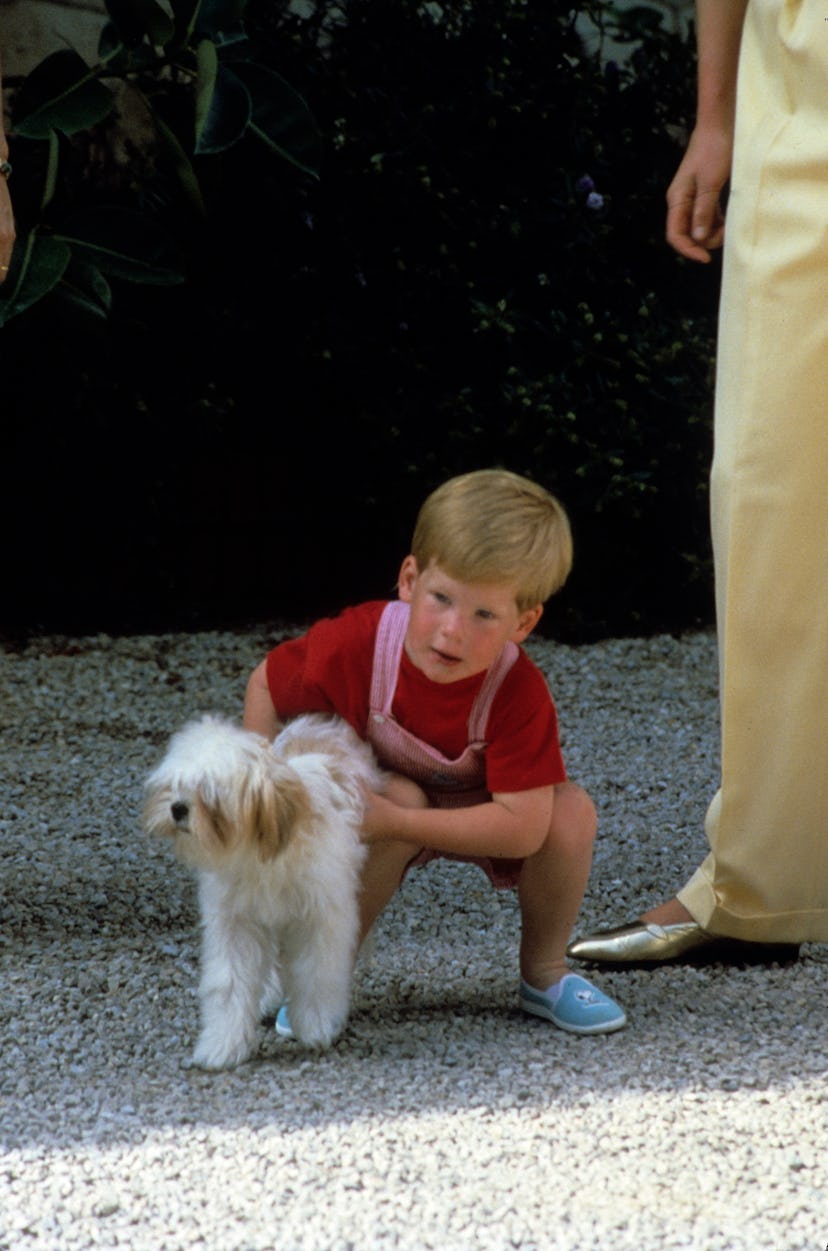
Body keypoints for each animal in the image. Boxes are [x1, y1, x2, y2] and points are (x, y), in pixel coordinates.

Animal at [143, 715, 385, 1065]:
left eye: (209, 793)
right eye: (177, 785)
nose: (177, 808)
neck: (260, 855)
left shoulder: (320, 920)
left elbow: (316, 975)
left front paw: (316, 1026)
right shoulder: (236, 924)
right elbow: (229, 984)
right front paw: (222, 1044)